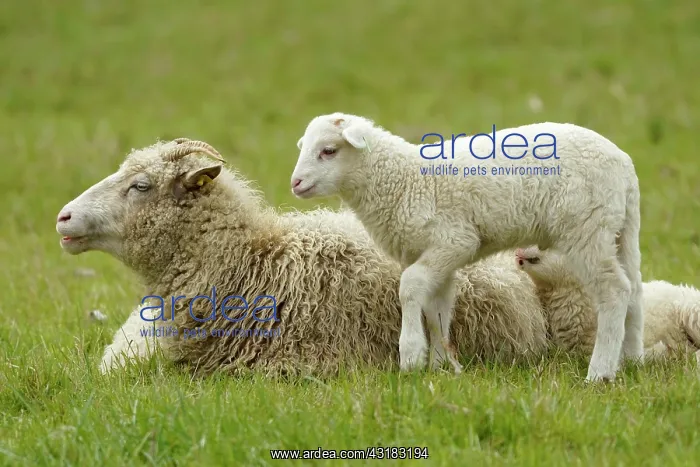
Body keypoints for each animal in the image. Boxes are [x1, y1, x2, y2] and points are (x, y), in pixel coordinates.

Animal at [289, 112, 644, 382]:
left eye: (328, 151)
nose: (295, 183)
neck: (403, 181)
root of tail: (625, 165)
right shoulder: (435, 254)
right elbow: (437, 309)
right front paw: (442, 365)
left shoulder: (455, 240)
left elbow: (410, 287)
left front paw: (412, 355)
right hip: (621, 230)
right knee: (636, 291)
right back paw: (632, 360)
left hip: (587, 228)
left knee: (614, 290)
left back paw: (599, 372)